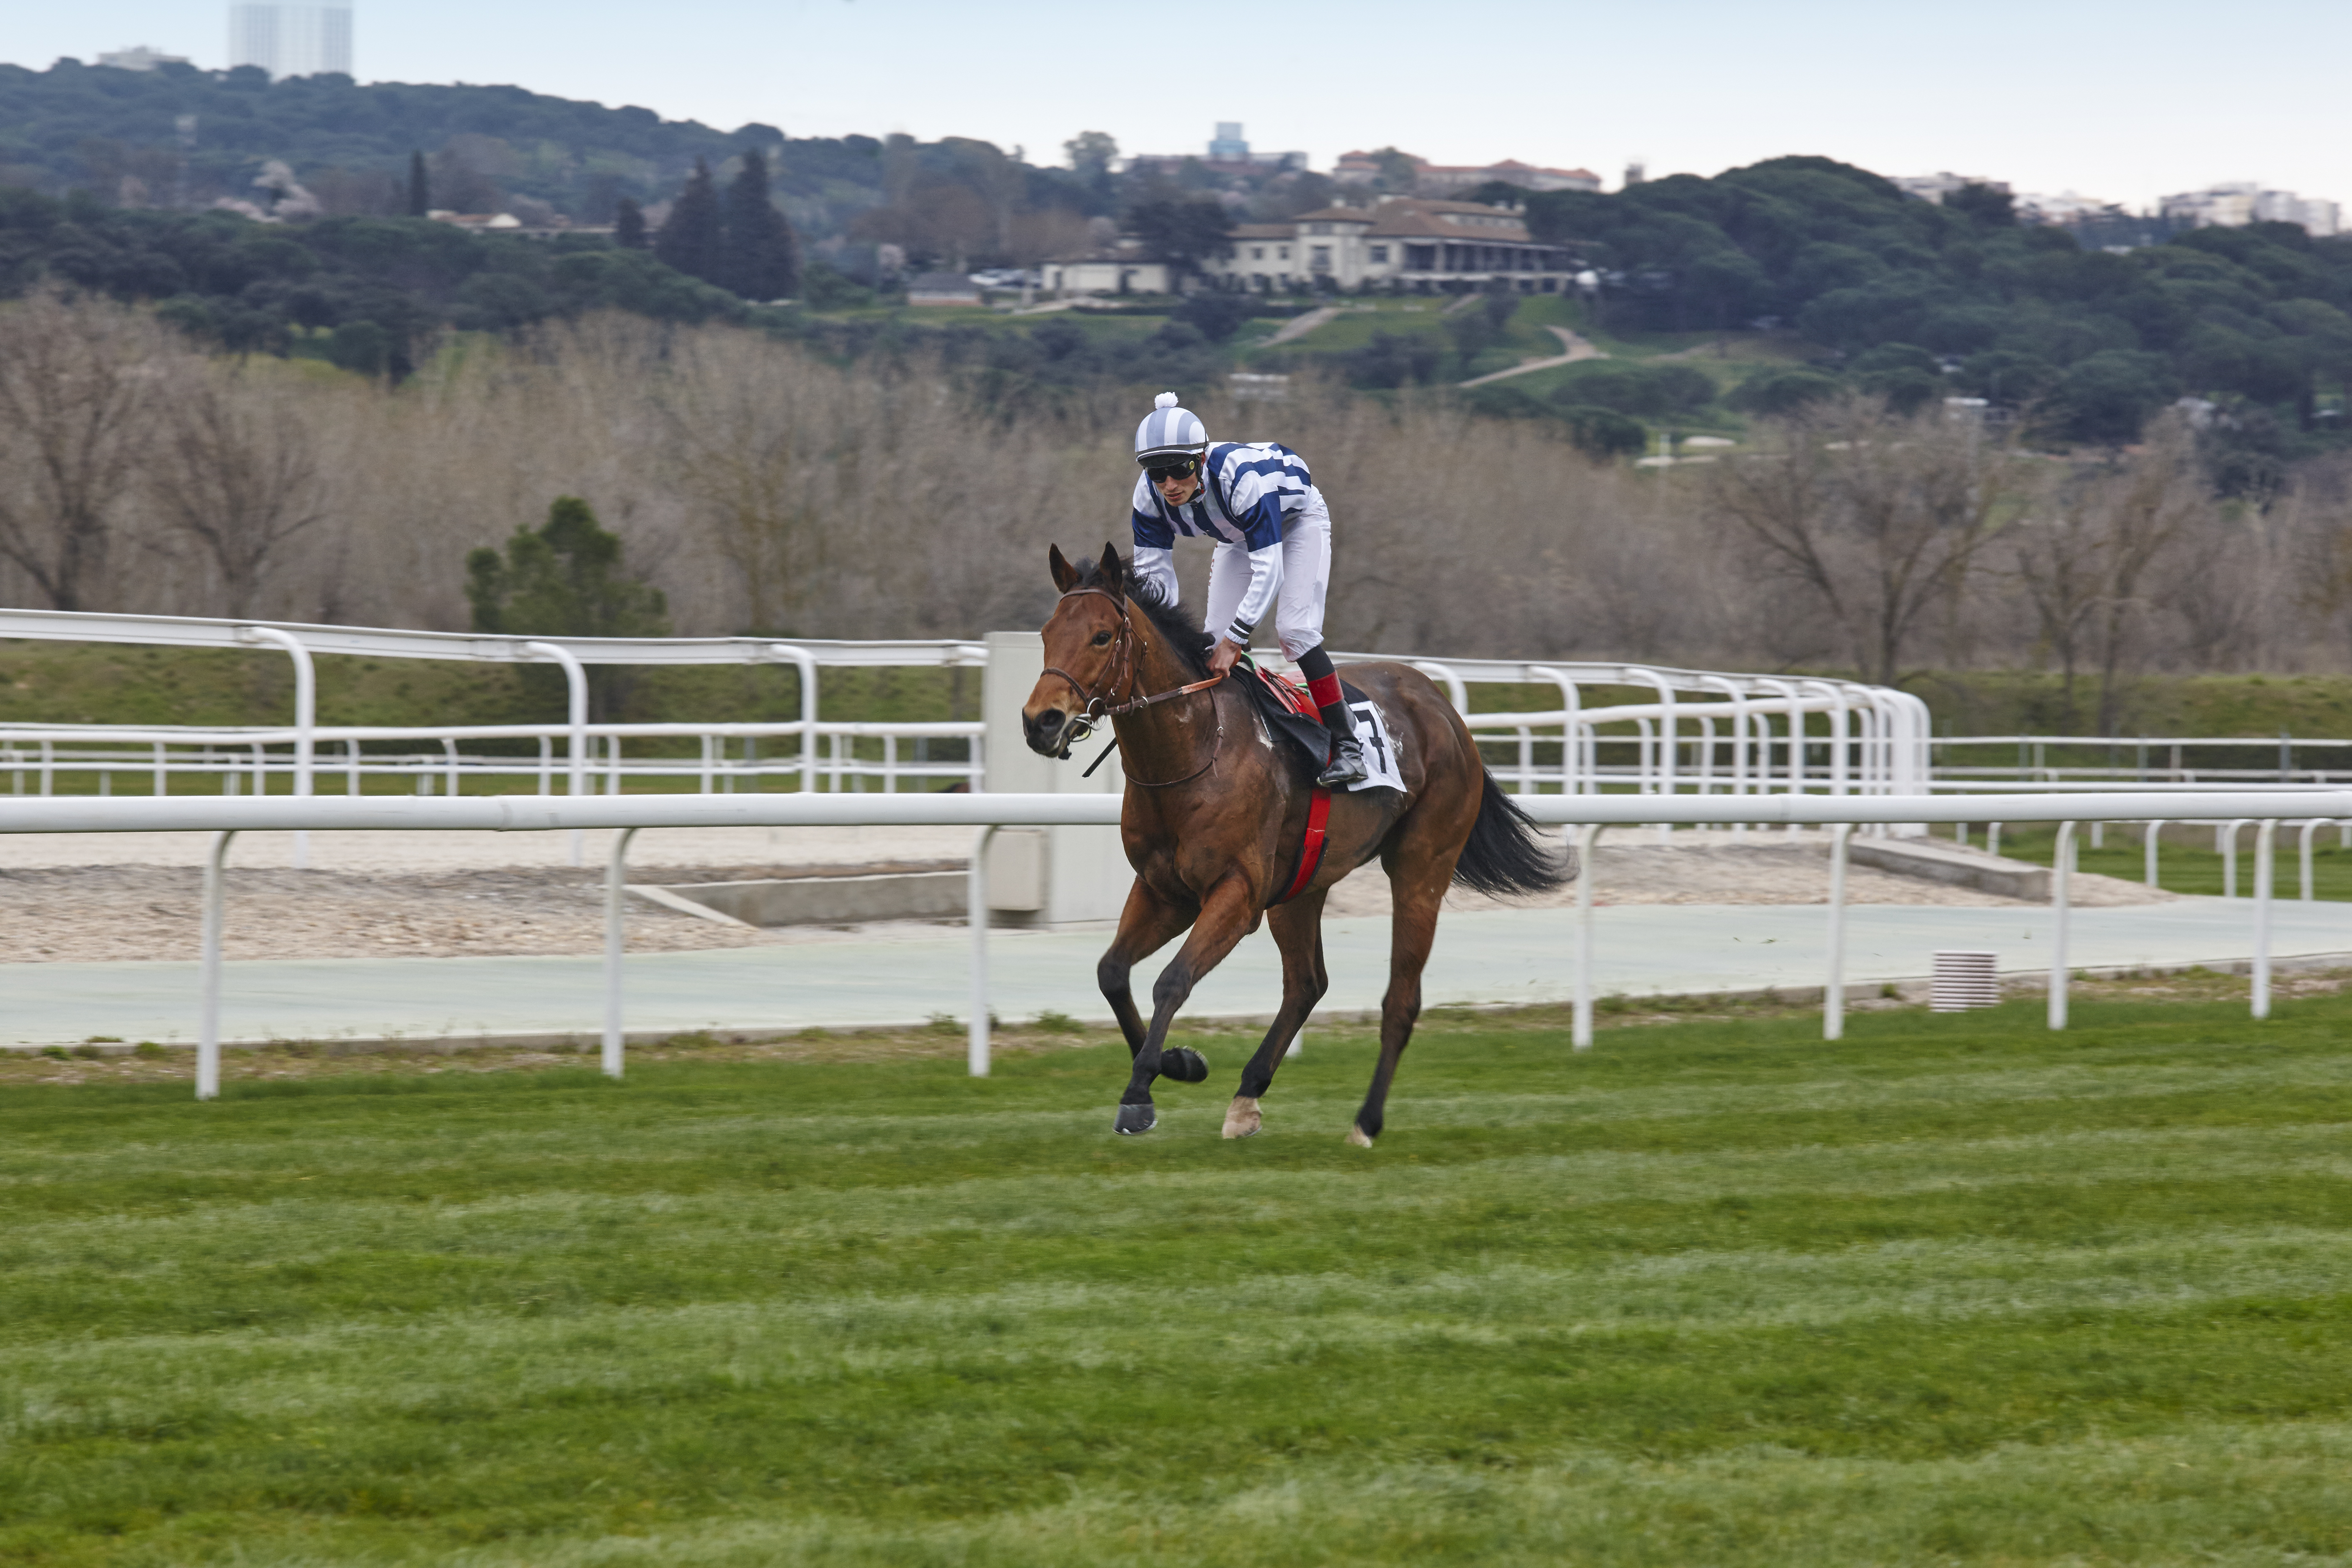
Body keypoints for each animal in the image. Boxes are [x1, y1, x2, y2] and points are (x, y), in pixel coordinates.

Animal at [1025, 545, 1562, 1147]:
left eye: (1100, 636)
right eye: (1047, 633)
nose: (1040, 722)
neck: (1193, 751)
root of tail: (1443, 708)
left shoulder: (1236, 894)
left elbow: (1173, 980)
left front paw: (1139, 1094)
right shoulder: (1165, 892)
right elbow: (1112, 973)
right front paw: (1180, 1062)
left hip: (1423, 866)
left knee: (1400, 997)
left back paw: (1366, 1122)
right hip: (1302, 884)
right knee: (1307, 983)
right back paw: (1248, 1095)